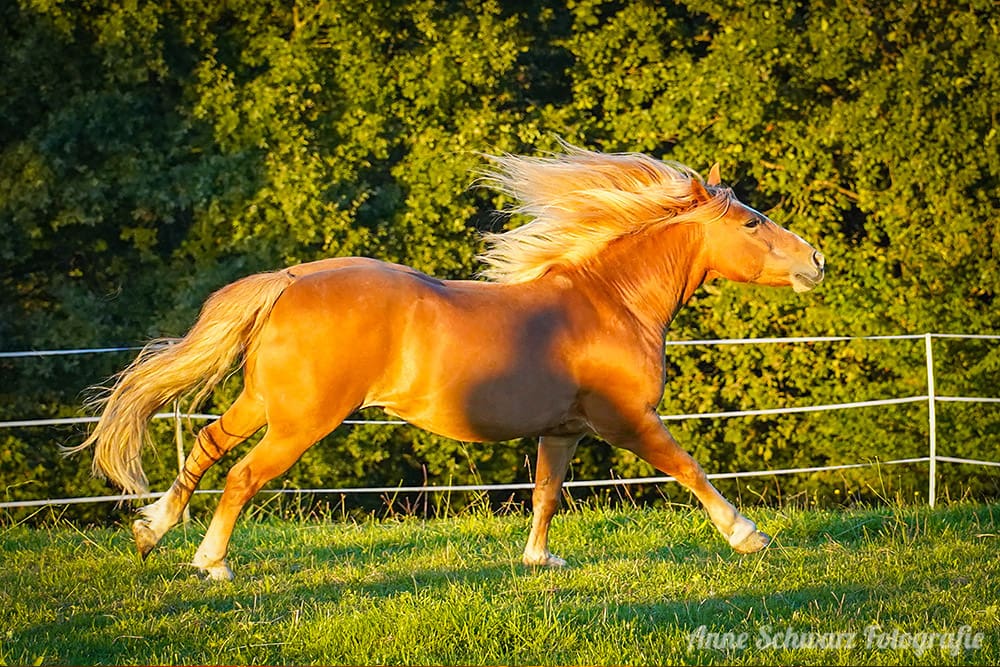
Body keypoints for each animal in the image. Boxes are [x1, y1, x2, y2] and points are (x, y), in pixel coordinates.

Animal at [69, 144, 825, 581]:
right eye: (751, 222)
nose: (816, 261)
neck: (612, 302)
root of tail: (291, 280)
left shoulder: (563, 431)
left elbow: (546, 493)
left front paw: (538, 559)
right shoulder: (627, 420)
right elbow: (689, 468)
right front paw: (748, 537)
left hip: (265, 402)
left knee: (206, 446)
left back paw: (151, 531)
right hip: (303, 420)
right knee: (243, 475)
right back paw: (211, 563)